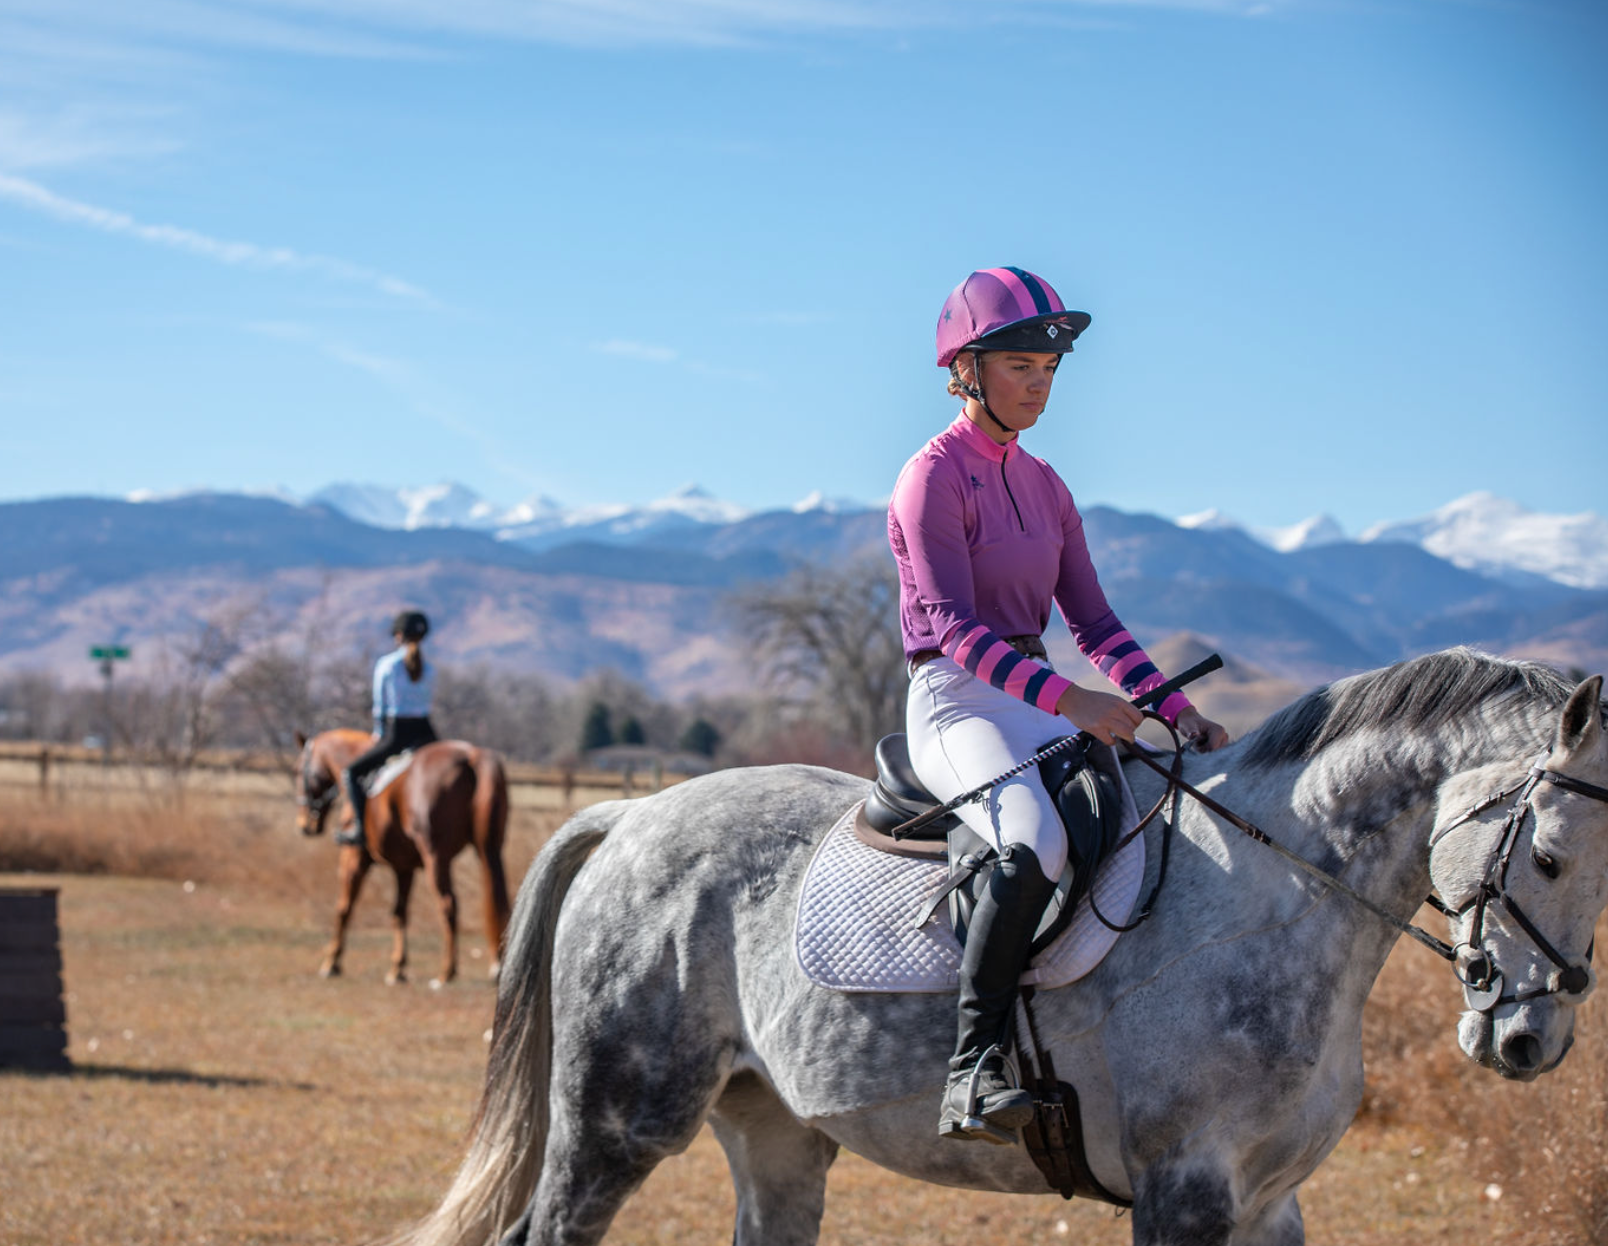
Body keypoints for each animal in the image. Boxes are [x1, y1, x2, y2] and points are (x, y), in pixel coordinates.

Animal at [292, 729, 508, 983]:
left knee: (448, 903)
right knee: (496, 897)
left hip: (435, 856)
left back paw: (446, 971)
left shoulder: (354, 858)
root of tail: (472, 756)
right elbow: (399, 912)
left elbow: (344, 907)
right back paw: (496, 964)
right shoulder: (403, 867)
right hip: (489, 849)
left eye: (298, 771)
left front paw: (331, 962)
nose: (304, 825)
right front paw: (398, 968)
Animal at [385, 652, 1608, 1246]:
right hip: (617, 1126)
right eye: (1549, 854)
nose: (1529, 1041)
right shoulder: (1185, 1195)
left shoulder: (1268, 1205)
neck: (1277, 897)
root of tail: (635, 816)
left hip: (774, 1130)